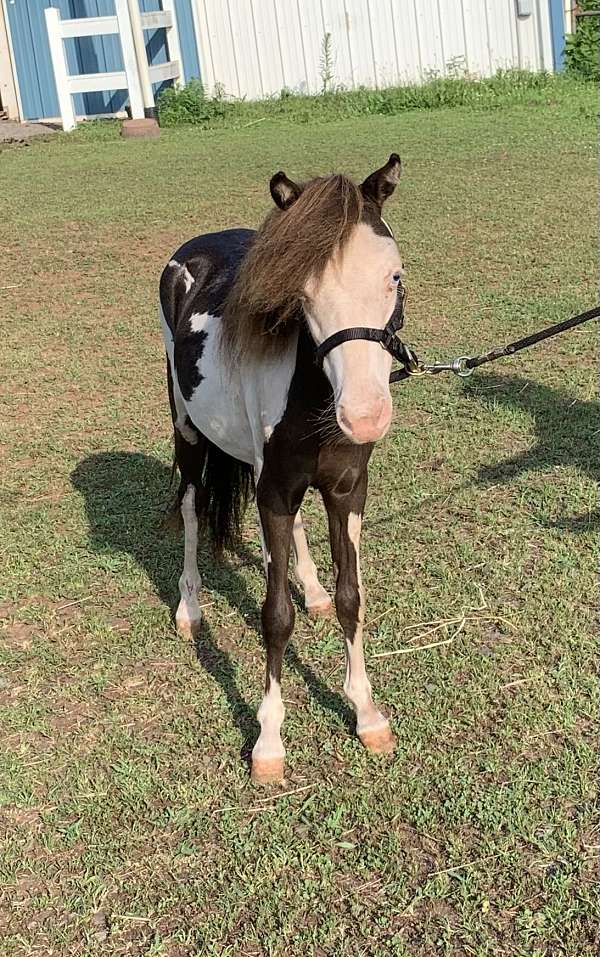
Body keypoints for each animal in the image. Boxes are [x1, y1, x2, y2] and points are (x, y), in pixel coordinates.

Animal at [159, 154, 405, 783]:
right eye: (302, 291)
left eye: (394, 276)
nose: (364, 416)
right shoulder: (271, 494)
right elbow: (274, 617)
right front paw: (268, 742)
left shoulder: (346, 491)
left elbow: (351, 598)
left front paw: (367, 714)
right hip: (189, 433)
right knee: (192, 510)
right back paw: (190, 607)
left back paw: (309, 587)